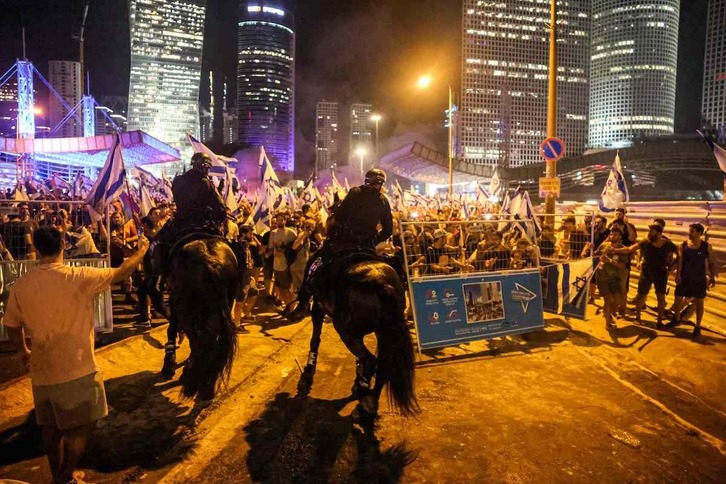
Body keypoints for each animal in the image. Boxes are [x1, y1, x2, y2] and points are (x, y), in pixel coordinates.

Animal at [161, 237, 239, 400]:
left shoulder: (174, 298)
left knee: (200, 339)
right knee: (216, 339)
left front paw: (169, 365)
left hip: (186, 306)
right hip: (225, 301)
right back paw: (207, 385)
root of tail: (211, 264)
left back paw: (193, 381)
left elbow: (172, 328)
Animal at [298, 255, 420, 418]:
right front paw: (358, 380)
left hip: (346, 332)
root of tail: (384, 286)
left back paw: (365, 396)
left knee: (370, 360)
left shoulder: (318, 306)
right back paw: (370, 400)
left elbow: (315, 340)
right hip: (383, 332)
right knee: (382, 364)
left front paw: (308, 372)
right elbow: (359, 360)